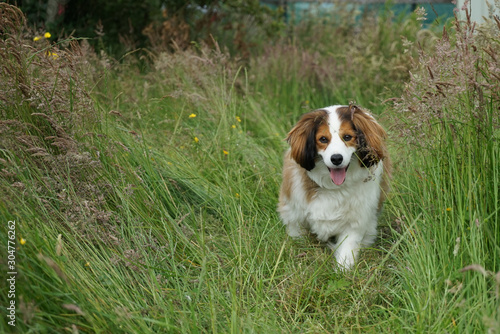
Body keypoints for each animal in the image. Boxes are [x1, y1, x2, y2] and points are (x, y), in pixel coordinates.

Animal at [278, 103, 390, 268]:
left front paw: (343, 270)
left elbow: (347, 250)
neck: (333, 187)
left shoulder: (356, 222)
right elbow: (298, 237)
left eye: (348, 137)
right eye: (323, 139)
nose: (336, 158)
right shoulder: (294, 214)